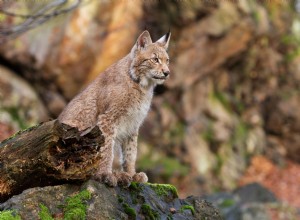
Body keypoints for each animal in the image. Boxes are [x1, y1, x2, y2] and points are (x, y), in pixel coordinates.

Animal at [58, 30, 171, 186]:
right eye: (155, 59)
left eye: (167, 60)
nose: (167, 73)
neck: (142, 86)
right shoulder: (107, 118)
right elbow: (107, 148)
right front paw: (105, 174)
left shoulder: (133, 124)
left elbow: (131, 152)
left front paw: (132, 174)